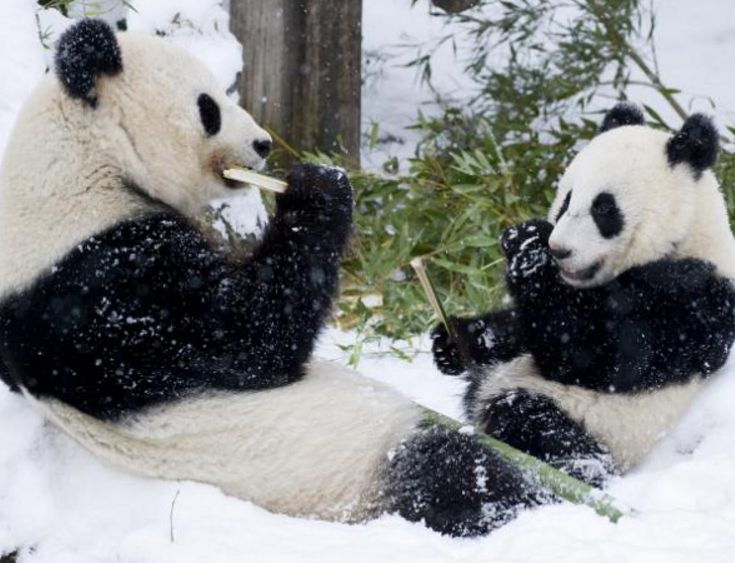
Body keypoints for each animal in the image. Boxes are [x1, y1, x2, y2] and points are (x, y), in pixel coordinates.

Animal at [434, 102, 735, 484]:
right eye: (566, 200)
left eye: (603, 208)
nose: (559, 250)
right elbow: (518, 328)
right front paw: (451, 341)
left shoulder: (694, 298)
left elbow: (597, 351)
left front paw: (531, 252)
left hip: (598, 422)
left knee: (537, 426)